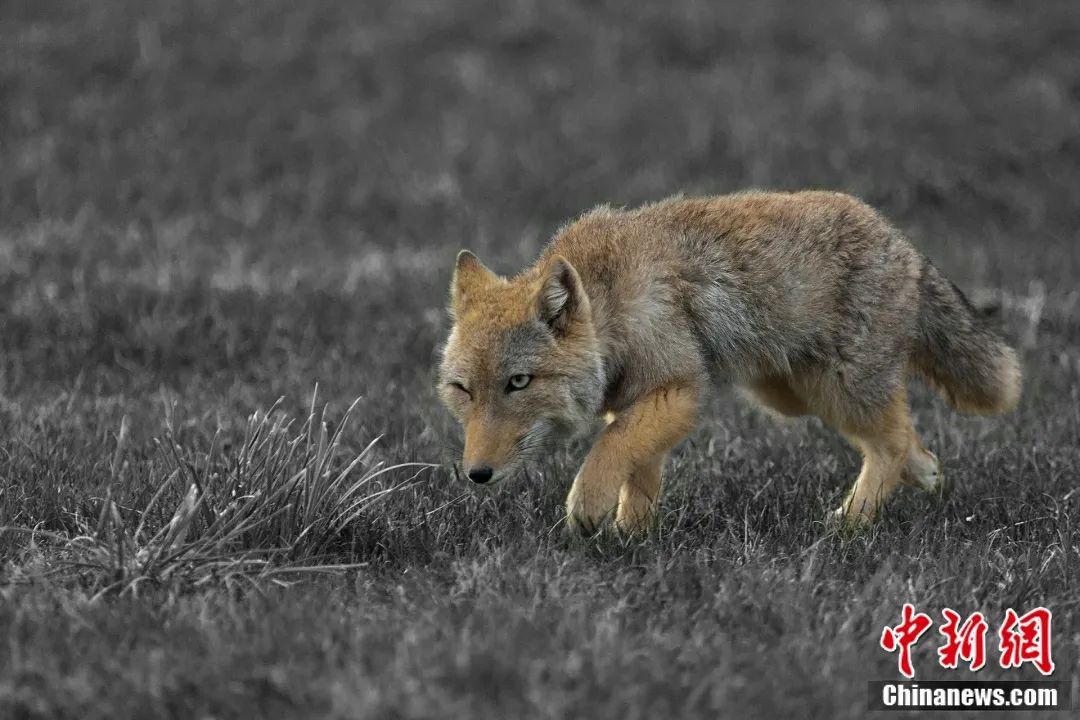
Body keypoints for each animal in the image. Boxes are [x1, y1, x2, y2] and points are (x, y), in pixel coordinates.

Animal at [436, 191, 1019, 535]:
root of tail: (902, 242)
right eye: (463, 390)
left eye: (518, 382)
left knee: (892, 443)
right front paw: (630, 536)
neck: (613, 308)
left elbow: (608, 453)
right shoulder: (642, 404)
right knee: (906, 442)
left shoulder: (680, 390)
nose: (477, 474)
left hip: (835, 392)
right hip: (794, 397)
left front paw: (589, 513)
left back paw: (850, 524)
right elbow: (637, 472)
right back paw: (924, 476)